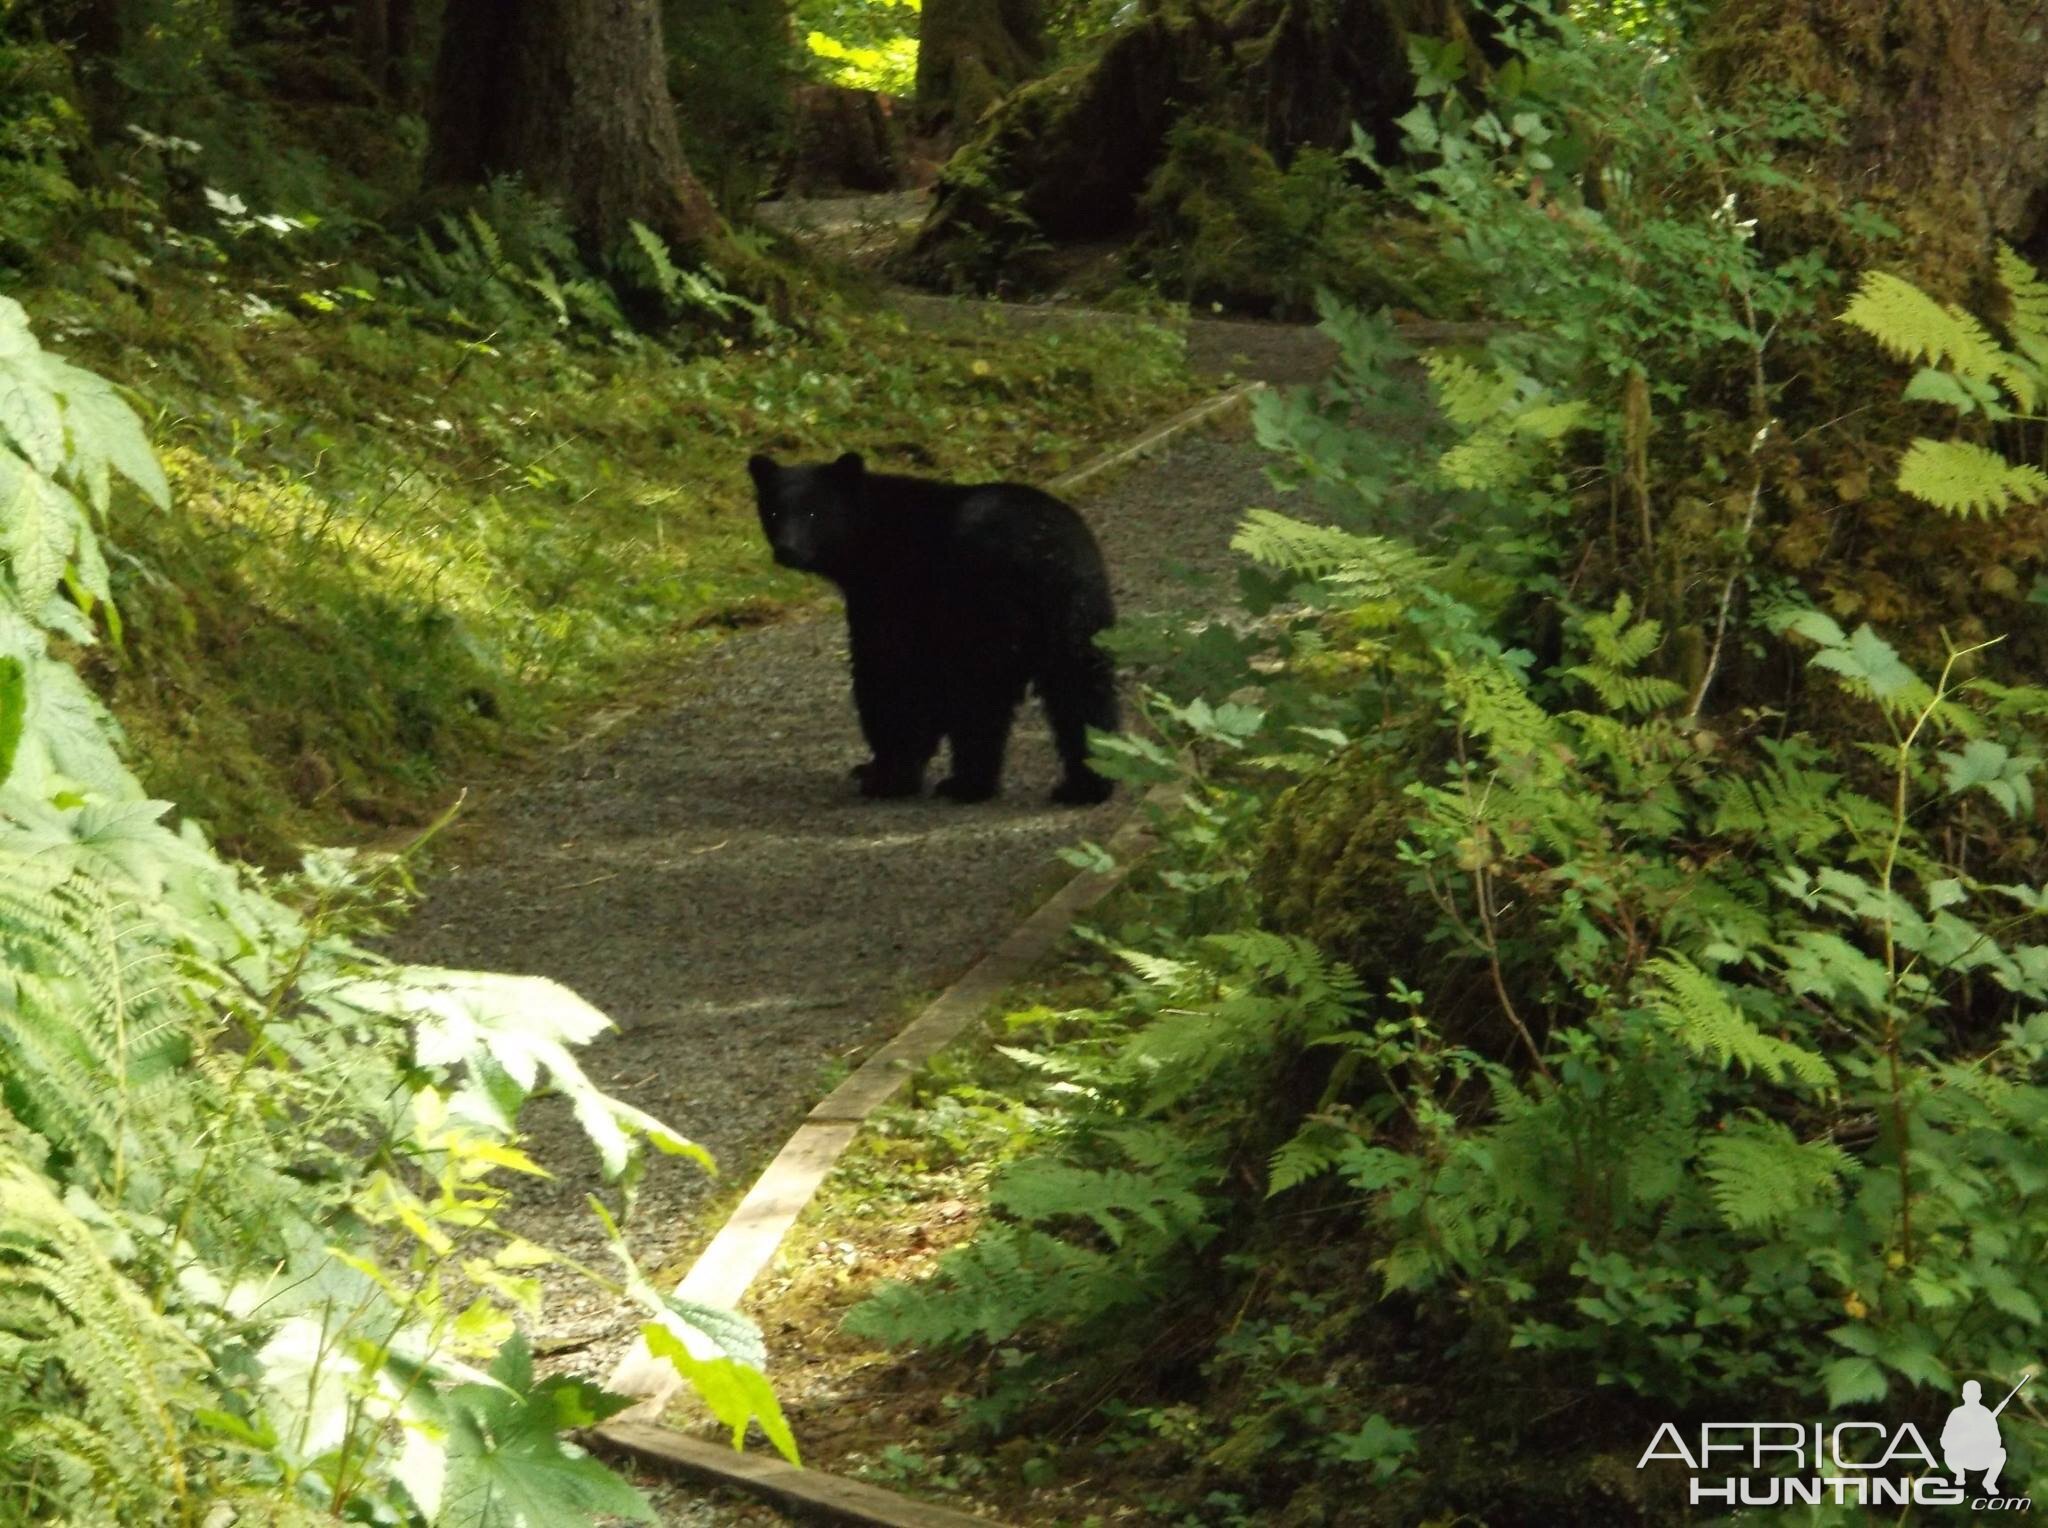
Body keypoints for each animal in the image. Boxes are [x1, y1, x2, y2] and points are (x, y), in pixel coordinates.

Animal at [749, 448, 1122, 802]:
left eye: (813, 513)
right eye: (774, 513)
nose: (787, 549)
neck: (869, 536)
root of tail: (1045, 557)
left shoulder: (896, 596)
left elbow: (890, 675)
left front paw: (887, 773)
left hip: (987, 611)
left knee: (982, 697)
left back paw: (967, 784)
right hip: (1079, 613)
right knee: (1081, 691)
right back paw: (1086, 785)